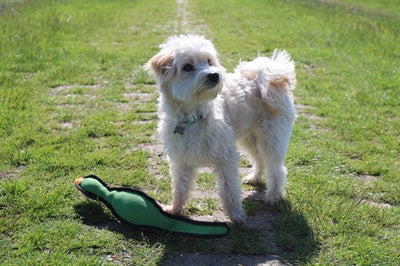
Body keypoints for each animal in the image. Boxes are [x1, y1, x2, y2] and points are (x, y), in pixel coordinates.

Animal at [145, 34, 296, 222]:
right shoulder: (181, 159)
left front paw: (236, 215)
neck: (193, 115)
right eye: (187, 67)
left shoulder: (225, 157)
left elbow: (229, 188)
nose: (214, 75)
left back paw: (274, 196)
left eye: (209, 61)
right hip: (249, 138)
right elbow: (180, 186)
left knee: (276, 168)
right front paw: (174, 209)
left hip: (272, 138)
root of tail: (269, 74)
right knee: (259, 159)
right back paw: (254, 178)